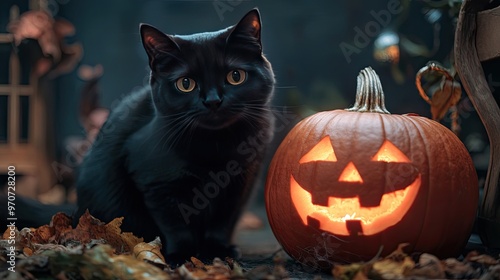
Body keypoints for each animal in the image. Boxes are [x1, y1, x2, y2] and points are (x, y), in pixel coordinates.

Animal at [76, 8, 276, 262]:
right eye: (186, 83)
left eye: (235, 76)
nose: (213, 101)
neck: (214, 146)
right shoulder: (154, 183)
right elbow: (175, 223)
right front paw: (182, 256)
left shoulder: (242, 180)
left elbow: (223, 221)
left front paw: (218, 251)